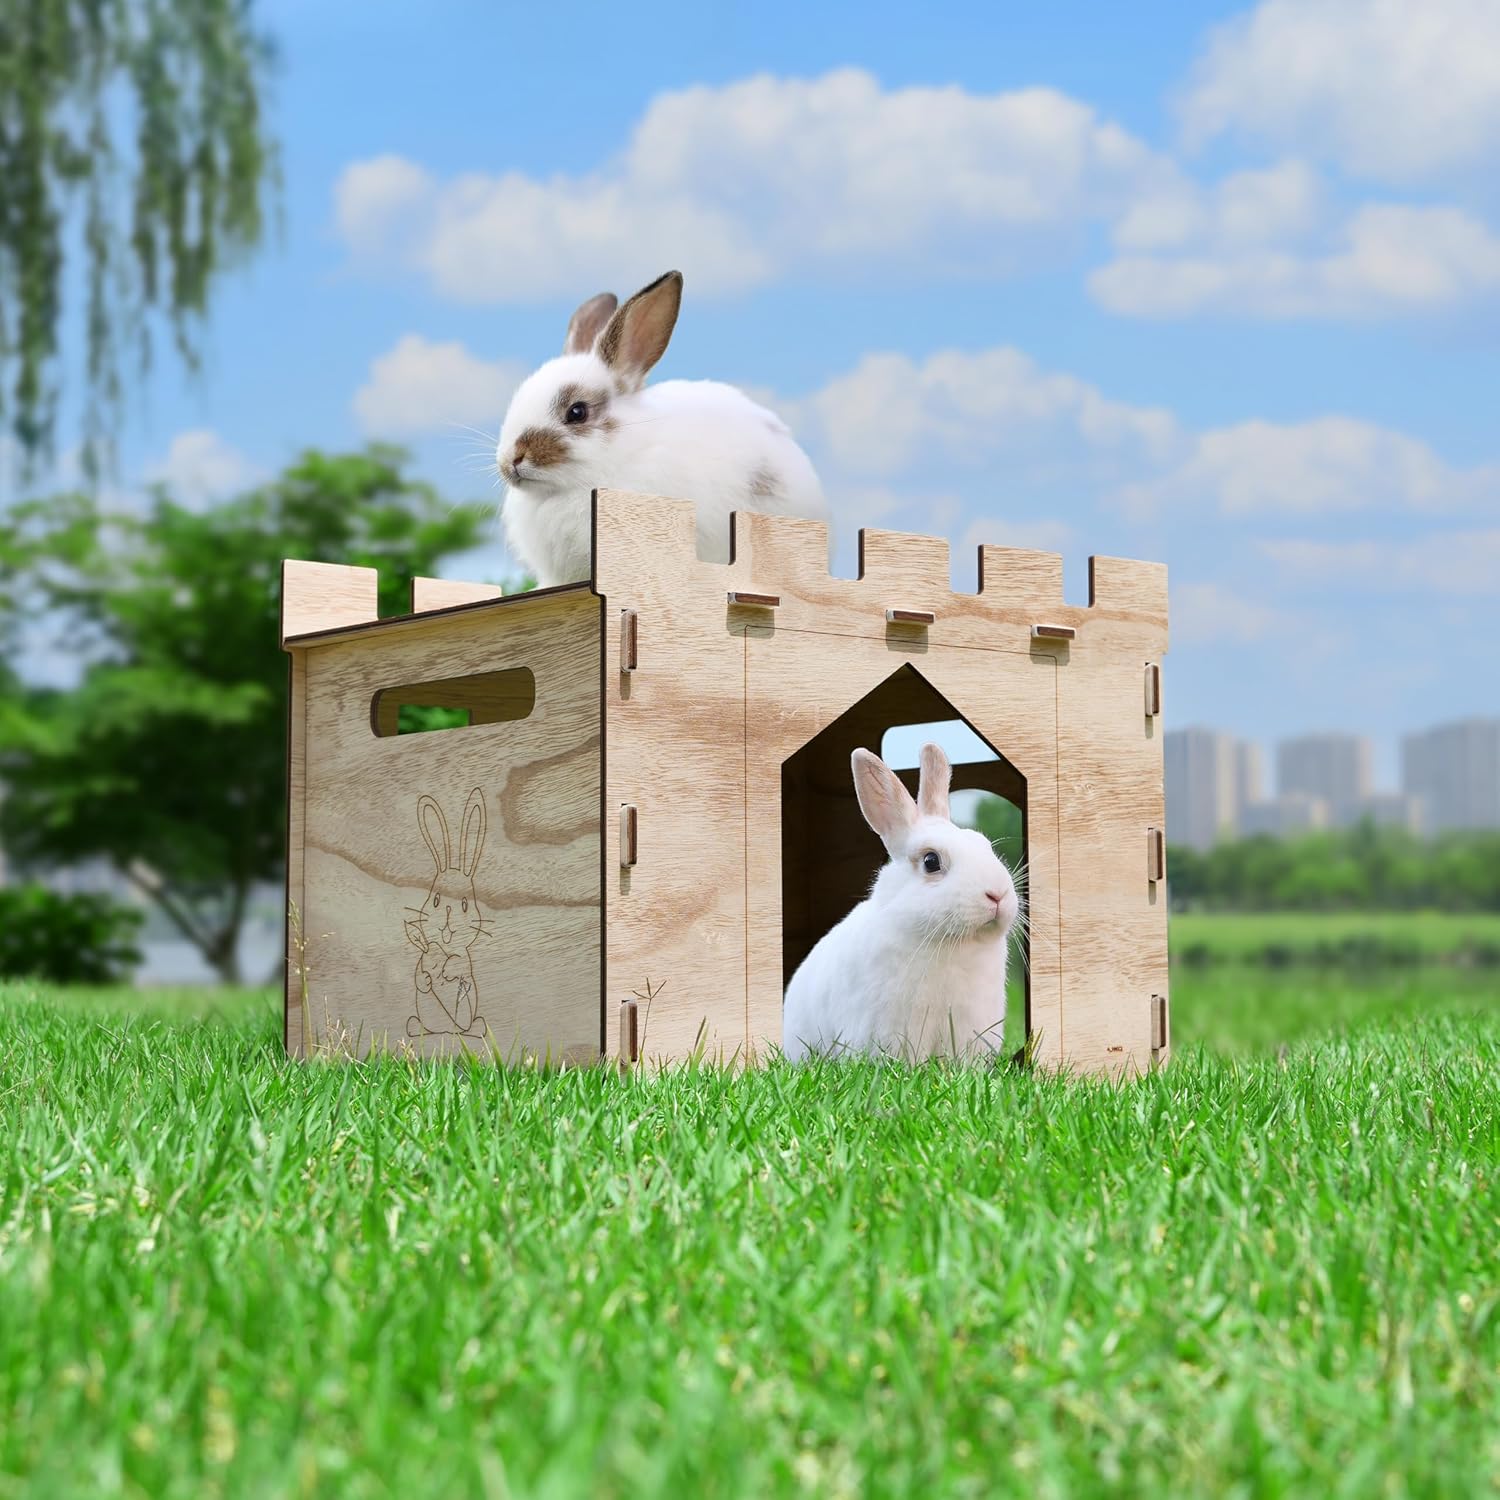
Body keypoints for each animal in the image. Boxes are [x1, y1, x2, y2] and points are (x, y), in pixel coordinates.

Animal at [404, 788, 489, 1039]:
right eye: (436, 900)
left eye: (465, 904)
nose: (449, 911)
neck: (444, 949)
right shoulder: (422, 958)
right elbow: (418, 973)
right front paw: (427, 979)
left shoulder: (465, 958)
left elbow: (461, 963)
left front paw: (448, 971)